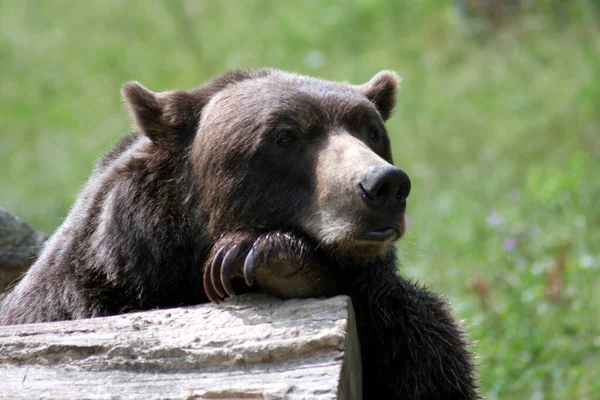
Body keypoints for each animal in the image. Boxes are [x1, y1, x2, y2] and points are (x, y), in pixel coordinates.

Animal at [0, 69, 478, 396]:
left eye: (372, 131)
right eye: (285, 136)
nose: (384, 185)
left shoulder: (401, 329)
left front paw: (269, 256)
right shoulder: (78, 300)